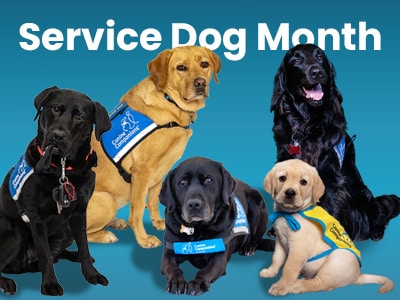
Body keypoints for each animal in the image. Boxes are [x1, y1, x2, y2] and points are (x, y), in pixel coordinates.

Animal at [0, 86, 111, 296]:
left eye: (79, 117)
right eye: (55, 109)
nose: (57, 136)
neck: (62, 168)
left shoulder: (79, 212)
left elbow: (84, 246)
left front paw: (91, 274)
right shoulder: (36, 217)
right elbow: (45, 255)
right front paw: (50, 284)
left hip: (66, 230)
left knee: (60, 253)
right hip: (19, 232)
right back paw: (6, 282)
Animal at [86, 44, 222, 247]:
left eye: (204, 64)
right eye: (181, 67)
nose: (200, 83)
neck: (169, 101)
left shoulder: (160, 171)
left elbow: (153, 200)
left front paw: (159, 222)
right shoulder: (142, 171)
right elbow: (136, 212)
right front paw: (143, 239)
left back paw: (115, 222)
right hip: (106, 200)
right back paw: (105, 234)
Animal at [159, 157, 276, 296]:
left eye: (208, 180)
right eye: (182, 182)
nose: (194, 204)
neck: (198, 229)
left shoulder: (219, 256)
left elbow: (207, 270)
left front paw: (198, 283)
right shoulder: (169, 252)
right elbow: (172, 267)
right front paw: (177, 282)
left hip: (257, 202)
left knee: (256, 237)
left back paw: (249, 247)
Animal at [260, 159, 394, 296]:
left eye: (303, 182)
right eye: (282, 178)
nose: (290, 193)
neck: (288, 214)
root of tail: (357, 275)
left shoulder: (299, 248)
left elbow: (289, 267)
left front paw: (282, 286)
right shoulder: (280, 241)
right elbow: (276, 258)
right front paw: (270, 272)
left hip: (336, 260)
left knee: (321, 284)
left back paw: (298, 285)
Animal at [268, 42, 400, 241]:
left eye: (320, 57)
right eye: (297, 61)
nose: (317, 72)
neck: (307, 125)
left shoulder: (330, 176)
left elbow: (329, 209)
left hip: (363, 194)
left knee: (377, 214)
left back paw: (376, 231)